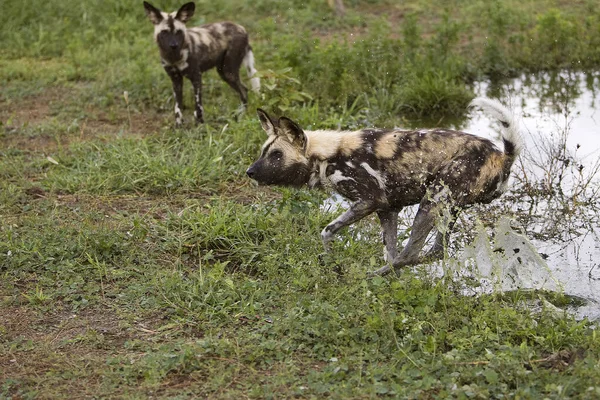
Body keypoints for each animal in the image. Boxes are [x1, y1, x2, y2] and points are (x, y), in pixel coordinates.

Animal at [246, 98, 524, 276]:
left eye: (277, 155)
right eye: (263, 152)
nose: (250, 172)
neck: (327, 155)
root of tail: (502, 156)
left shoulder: (369, 201)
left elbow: (326, 231)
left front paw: (333, 265)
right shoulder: (388, 210)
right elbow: (389, 250)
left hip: (431, 202)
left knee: (409, 254)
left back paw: (367, 277)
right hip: (449, 208)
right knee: (433, 252)